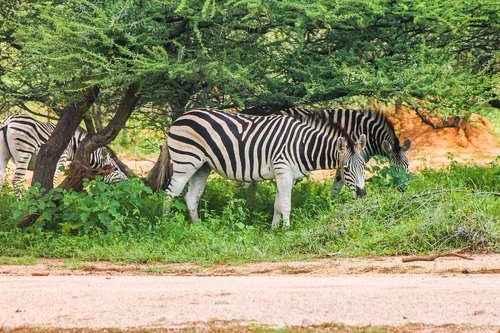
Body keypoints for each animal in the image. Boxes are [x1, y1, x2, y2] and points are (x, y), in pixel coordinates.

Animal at [148, 107, 368, 227]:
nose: (362, 194)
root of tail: (179, 118)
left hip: (202, 166)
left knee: (191, 197)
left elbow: (278, 204)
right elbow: (286, 205)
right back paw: (166, 225)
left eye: (363, 167)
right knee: (170, 194)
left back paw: (197, 227)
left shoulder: (286, 175)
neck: (302, 145)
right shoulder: (283, 170)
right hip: (186, 161)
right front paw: (286, 230)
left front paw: (274, 229)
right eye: (346, 169)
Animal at [280, 106, 412, 195]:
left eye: (407, 165)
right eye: (392, 167)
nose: (403, 189)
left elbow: (337, 186)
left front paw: (333, 204)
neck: (367, 133)